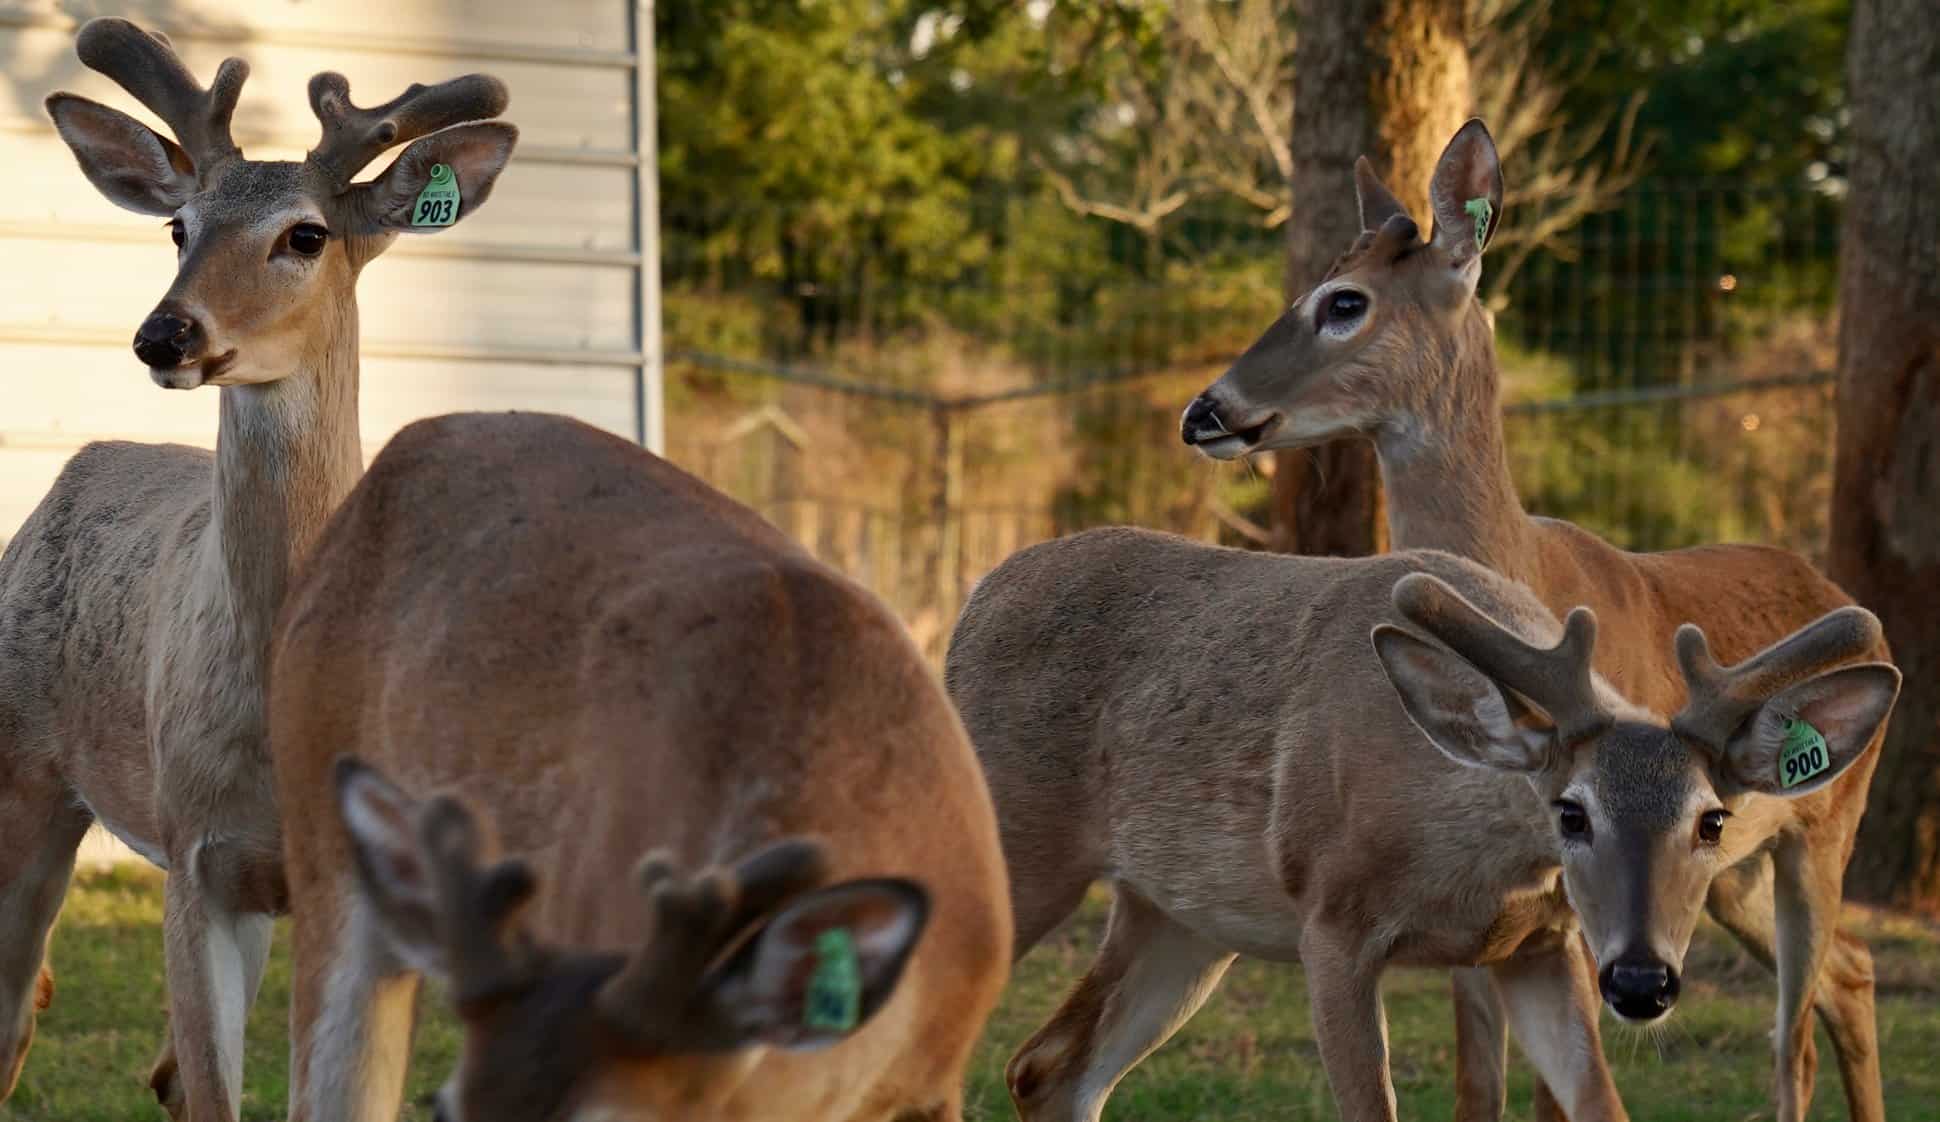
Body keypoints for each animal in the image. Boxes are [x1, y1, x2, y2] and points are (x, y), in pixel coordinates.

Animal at [0, 18, 515, 1120]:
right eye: (178, 228)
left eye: (305, 236)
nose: (165, 333)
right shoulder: (197, 854)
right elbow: (213, 1089)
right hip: (23, 774)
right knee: (20, 1018)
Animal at [944, 526, 1898, 1122]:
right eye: (1571, 812)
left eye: (1711, 821)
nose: (1641, 980)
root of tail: (973, 599)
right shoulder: (1331, 922)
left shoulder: (1539, 949)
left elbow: (1600, 1105)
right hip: (1014, 851)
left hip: (1180, 918)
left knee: (1048, 1069)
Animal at [1180, 119, 1895, 1122]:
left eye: (1344, 301)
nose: (1203, 411)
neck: (1524, 569)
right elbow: (1479, 1080)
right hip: (1738, 875)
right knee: (1854, 975)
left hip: (1822, 828)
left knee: (1793, 1032)